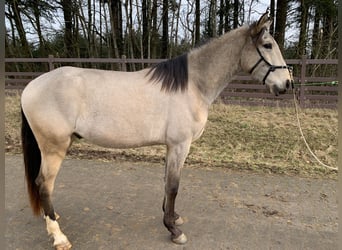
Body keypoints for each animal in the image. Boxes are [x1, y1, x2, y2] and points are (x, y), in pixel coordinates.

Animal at [21, 12, 294, 250]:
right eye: (267, 45)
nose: (287, 84)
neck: (192, 85)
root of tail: (32, 86)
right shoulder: (180, 145)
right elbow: (173, 186)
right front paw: (174, 231)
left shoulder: (171, 146)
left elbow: (166, 183)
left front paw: (173, 217)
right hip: (54, 148)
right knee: (43, 184)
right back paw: (59, 237)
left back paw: (52, 218)